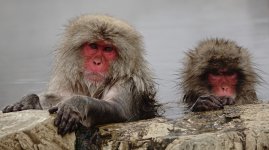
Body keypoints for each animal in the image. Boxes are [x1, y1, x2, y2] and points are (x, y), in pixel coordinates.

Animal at [2, 14, 158, 135]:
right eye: (93, 46)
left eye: (108, 49)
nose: (97, 62)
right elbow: (57, 97)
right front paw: (29, 101)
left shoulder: (129, 82)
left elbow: (119, 108)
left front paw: (76, 104)